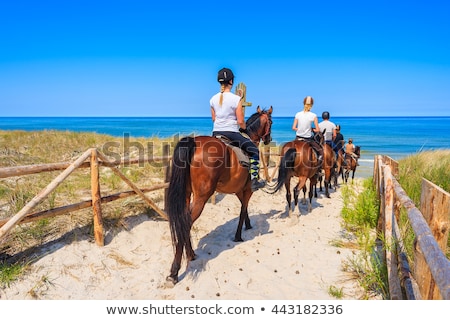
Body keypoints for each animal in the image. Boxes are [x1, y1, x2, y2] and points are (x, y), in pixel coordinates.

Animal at [164, 105, 272, 284]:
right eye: (271, 122)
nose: (269, 139)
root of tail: (194, 142)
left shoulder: (238, 190)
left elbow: (244, 209)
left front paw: (248, 225)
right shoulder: (248, 189)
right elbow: (243, 210)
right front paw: (238, 235)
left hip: (186, 195)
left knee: (184, 222)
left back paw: (191, 255)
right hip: (201, 198)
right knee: (187, 223)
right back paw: (174, 272)